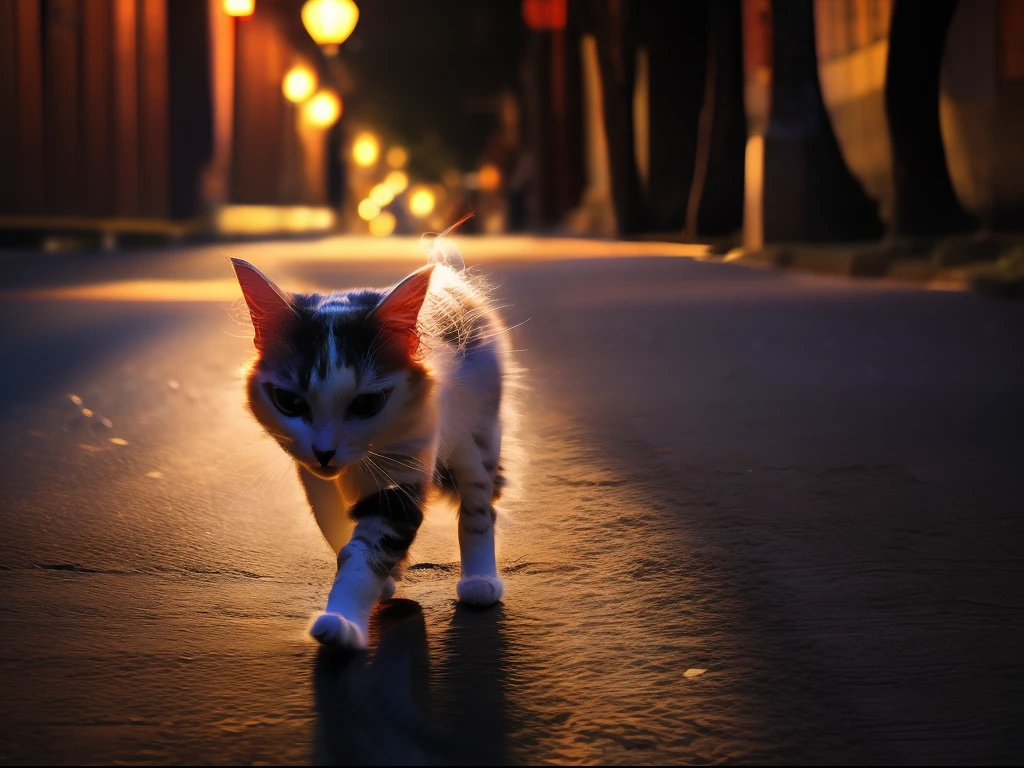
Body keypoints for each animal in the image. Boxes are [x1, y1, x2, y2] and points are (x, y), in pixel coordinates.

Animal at [227, 244, 507, 651]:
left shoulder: (402, 475)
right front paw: (383, 581)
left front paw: (343, 623)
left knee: (479, 509)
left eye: (366, 404)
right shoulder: (316, 482)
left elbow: (363, 555)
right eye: (289, 402)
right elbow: (337, 533)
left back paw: (480, 582)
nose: (325, 452)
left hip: (476, 436)